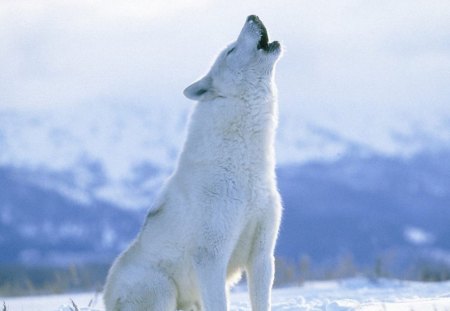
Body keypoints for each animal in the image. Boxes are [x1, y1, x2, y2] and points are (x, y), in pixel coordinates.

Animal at [103, 15, 284, 311]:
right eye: (231, 51)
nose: (252, 16)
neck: (245, 170)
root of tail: (107, 299)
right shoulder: (211, 259)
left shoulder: (262, 255)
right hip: (162, 289)